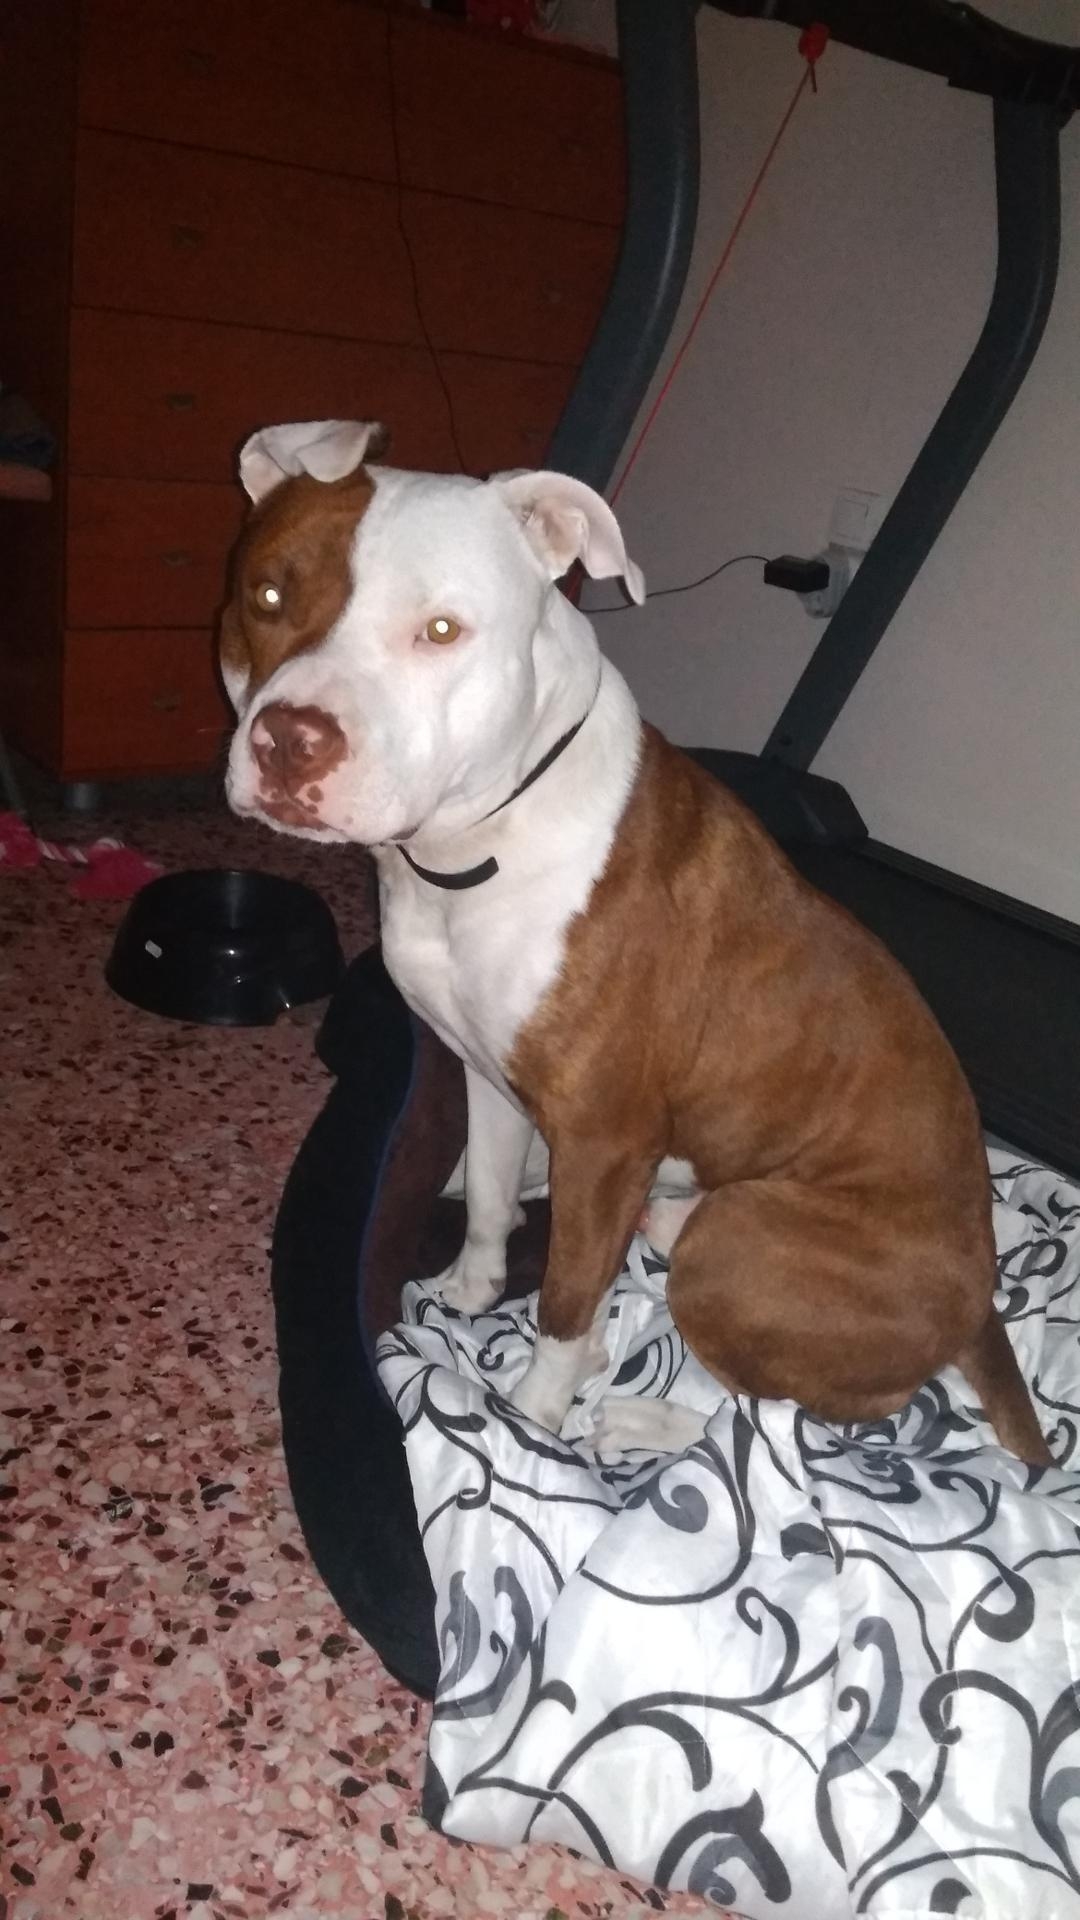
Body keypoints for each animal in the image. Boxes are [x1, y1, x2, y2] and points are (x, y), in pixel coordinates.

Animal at [221, 418, 1049, 1466]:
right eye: (268, 595)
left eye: (441, 631)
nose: (291, 740)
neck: (470, 851)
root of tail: (981, 1301)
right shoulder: (487, 1075)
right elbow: (487, 1195)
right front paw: (468, 1289)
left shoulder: (605, 1142)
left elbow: (570, 1304)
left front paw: (532, 1420)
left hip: (744, 1242)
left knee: (796, 1424)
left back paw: (647, 1419)